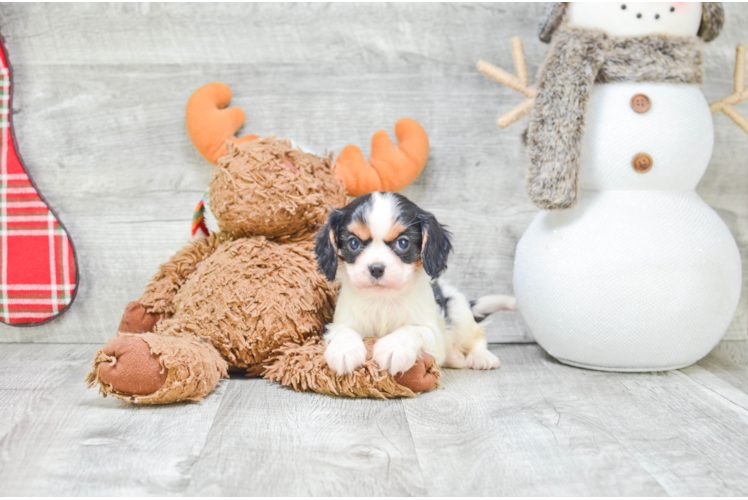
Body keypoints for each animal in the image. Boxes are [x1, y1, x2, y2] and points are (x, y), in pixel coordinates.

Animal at [314, 191, 516, 376]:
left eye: (403, 243)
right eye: (353, 243)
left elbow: (414, 330)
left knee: (478, 335)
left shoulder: (434, 333)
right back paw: (455, 357)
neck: (383, 298)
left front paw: (394, 347)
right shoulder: (339, 323)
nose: (376, 268)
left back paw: (481, 356)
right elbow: (344, 331)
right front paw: (344, 349)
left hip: (458, 310)